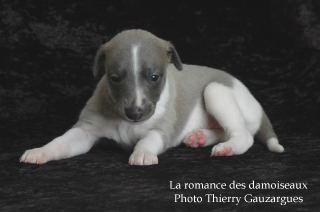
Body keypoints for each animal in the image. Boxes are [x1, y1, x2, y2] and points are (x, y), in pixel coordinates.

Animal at [20, 29, 284, 166]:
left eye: (154, 77)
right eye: (114, 78)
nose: (135, 113)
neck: (124, 121)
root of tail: (257, 105)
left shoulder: (161, 129)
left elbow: (149, 138)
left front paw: (143, 153)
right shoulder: (85, 131)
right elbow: (62, 141)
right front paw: (40, 151)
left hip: (216, 91)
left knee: (243, 135)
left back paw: (227, 147)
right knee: (224, 131)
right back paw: (200, 137)